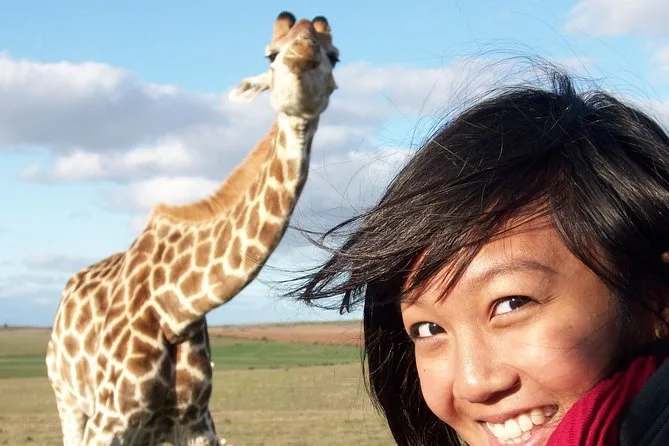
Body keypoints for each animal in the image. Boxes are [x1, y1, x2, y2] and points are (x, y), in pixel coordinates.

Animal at [46, 11, 339, 446]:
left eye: (334, 56)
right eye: (270, 54)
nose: (300, 63)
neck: (177, 307)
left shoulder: (196, 421)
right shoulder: (109, 421)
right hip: (68, 401)